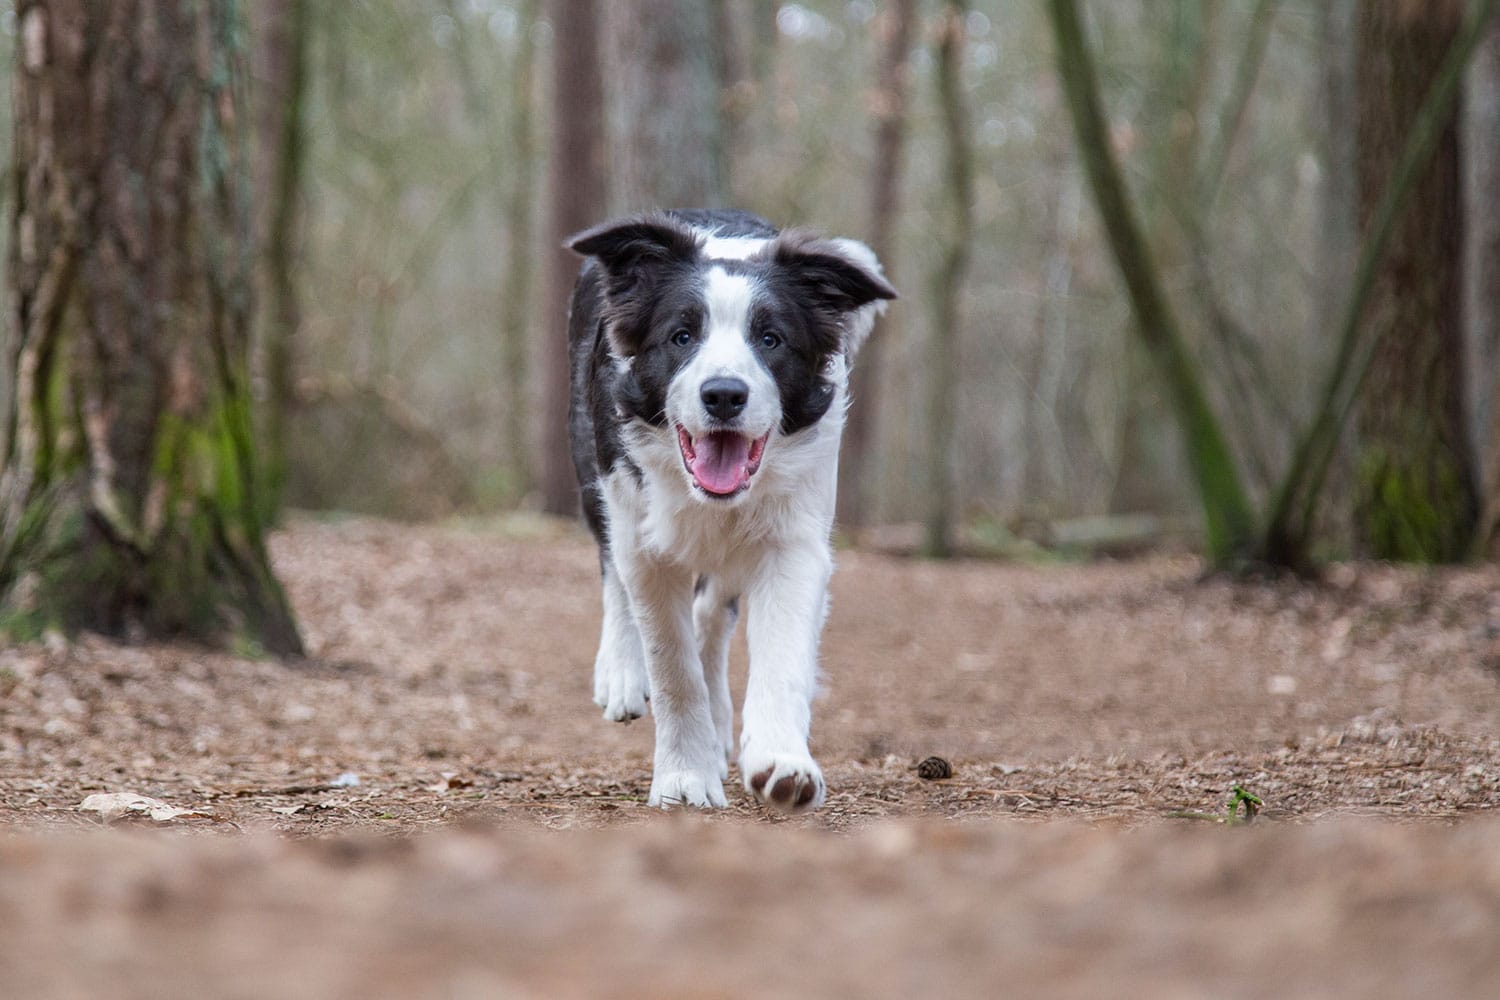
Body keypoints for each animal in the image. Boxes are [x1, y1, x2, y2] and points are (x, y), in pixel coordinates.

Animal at [564, 206, 888, 809]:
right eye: (682, 336)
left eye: (771, 339)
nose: (723, 395)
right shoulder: (643, 535)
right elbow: (672, 664)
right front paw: (684, 778)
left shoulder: (794, 540)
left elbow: (781, 656)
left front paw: (782, 764)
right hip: (593, 471)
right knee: (612, 567)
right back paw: (621, 675)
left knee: (711, 618)